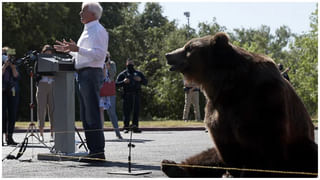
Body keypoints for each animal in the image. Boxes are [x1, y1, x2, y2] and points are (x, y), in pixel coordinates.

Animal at [162, 32, 318, 177]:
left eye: (189, 47)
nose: (168, 55)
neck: (227, 85)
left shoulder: (263, 98)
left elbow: (266, 145)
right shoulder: (218, 108)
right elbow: (225, 144)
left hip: (300, 145)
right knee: (207, 155)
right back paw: (171, 166)